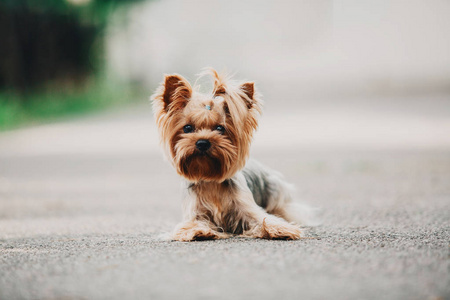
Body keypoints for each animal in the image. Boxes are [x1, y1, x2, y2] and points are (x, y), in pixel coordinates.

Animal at [153, 68, 312, 241]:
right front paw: (199, 231)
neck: (210, 180)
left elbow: (265, 219)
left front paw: (281, 229)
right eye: (187, 128)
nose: (202, 143)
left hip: (276, 191)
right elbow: (192, 225)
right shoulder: (195, 213)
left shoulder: (248, 209)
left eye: (220, 128)